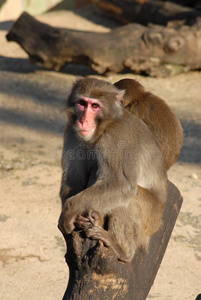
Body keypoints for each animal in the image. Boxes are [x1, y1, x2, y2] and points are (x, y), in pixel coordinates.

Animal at [58, 77, 168, 262]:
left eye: (95, 106)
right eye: (82, 103)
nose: (83, 120)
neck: (104, 127)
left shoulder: (115, 140)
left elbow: (121, 185)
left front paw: (68, 212)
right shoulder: (72, 133)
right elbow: (73, 179)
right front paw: (77, 217)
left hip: (151, 217)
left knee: (129, 199)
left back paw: (122, 250)